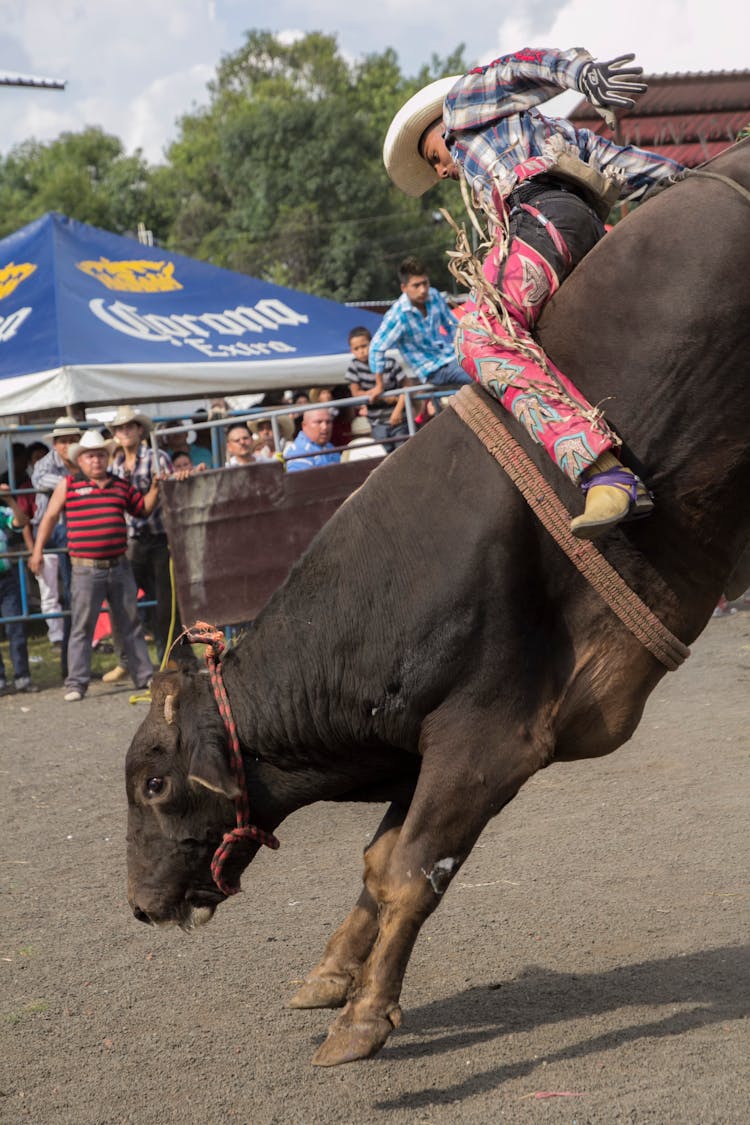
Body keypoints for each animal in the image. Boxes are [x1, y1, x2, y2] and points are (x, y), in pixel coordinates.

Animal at [125, 140, 750, 1062]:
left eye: (157, 784)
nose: (139, 905)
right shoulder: (418, 742)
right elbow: (379, 861)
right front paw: (330, 974)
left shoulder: (488, 737)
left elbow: (413, 868)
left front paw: (362, 1019)